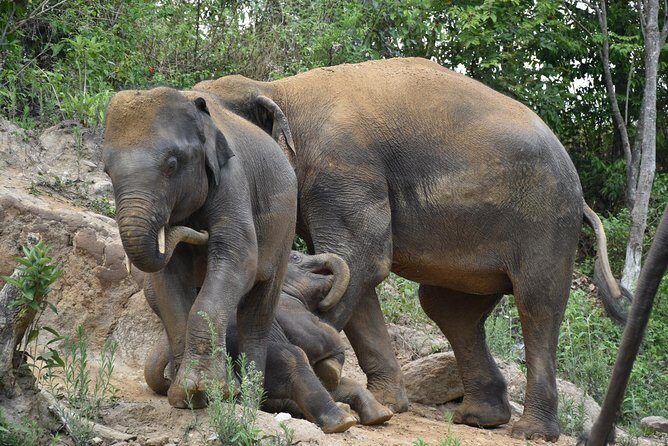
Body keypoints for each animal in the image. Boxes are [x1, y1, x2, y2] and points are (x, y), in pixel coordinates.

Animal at [102, 87, 297, 409]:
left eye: (171, 165)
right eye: (107, 172)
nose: (197, 231)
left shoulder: (232, 179)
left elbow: (239, 257)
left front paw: (204, 391)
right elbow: (168, 278)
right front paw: (185, 396)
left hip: (285, 231)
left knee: (257, 313)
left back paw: (248, 402)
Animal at [143, 251, 393, 433]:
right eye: (296, 257)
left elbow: (334, 380)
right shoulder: (291, 310)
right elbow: (324, 340)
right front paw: (331, 369)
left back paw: (378, 415)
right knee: (294, 360)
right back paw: (343, 420)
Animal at [192, 57, 628, 440]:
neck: (278, 89)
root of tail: (581, 198)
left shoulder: (343, 165)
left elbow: (361, 258)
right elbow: (352, 270)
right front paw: (387, 405)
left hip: (546, 220)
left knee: (536, 304)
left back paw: (529, 432)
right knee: (449, 309)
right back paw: (480, 418)